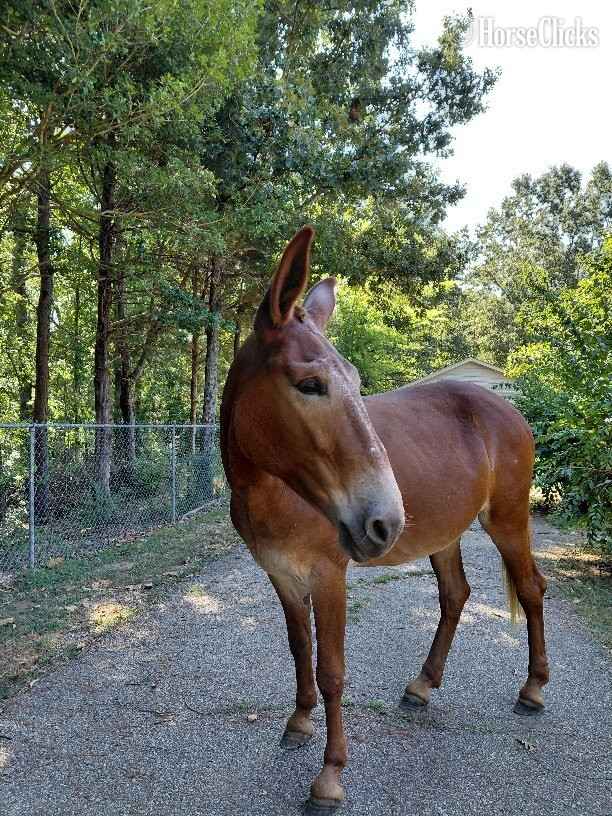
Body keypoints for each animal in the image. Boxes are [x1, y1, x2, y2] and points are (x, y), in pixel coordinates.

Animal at [220, 226, 549, 813]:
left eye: (353, 381)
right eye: (309, 384)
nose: (386, 521)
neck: (272, 490)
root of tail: (508, 408)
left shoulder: (329, 576)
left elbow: (331, 670)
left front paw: (329, 777)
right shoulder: (282, 576)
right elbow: (299, 649)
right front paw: (298, 722)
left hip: (507, 521)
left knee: (532, 589)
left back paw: (532, 690)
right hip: (445, 533)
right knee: (455, 595)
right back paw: (422, 685)